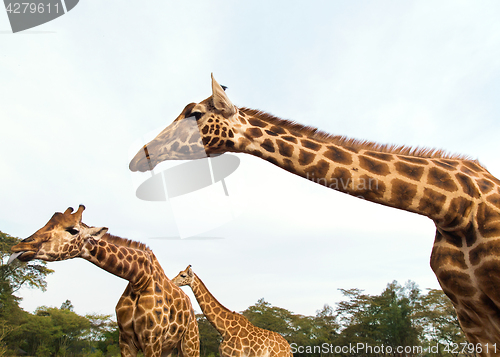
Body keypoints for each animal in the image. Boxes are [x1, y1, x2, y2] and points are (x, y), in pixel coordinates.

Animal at [8, 204, 199, 356]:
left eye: (73, 230)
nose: (20, 246)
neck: (139, 278)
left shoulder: (152, 340)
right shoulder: (125, 340)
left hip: (190, 343)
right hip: (169, 347)